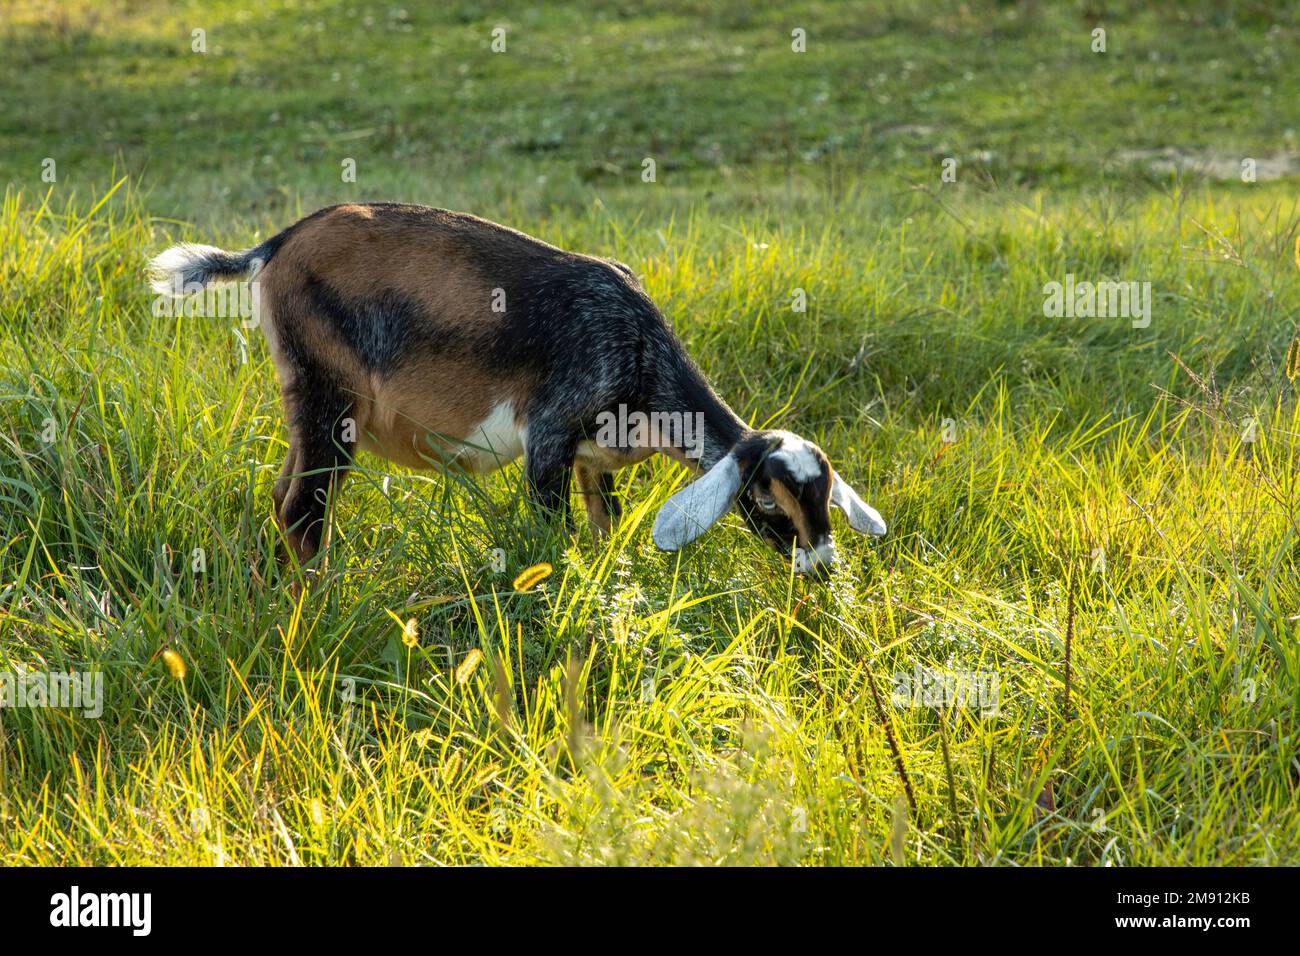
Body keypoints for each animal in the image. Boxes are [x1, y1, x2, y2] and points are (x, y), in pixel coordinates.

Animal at [149, 203, 886, 578]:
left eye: (823, 495)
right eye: (765, 499)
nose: (823, 566)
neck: (638, 353)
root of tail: (275, 245)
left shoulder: (593, 459)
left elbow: (605, 527)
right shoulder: (550, 438)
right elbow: (552, 535)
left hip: (305, 400)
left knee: (283, 494)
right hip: (330, 394)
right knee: (305, 507)